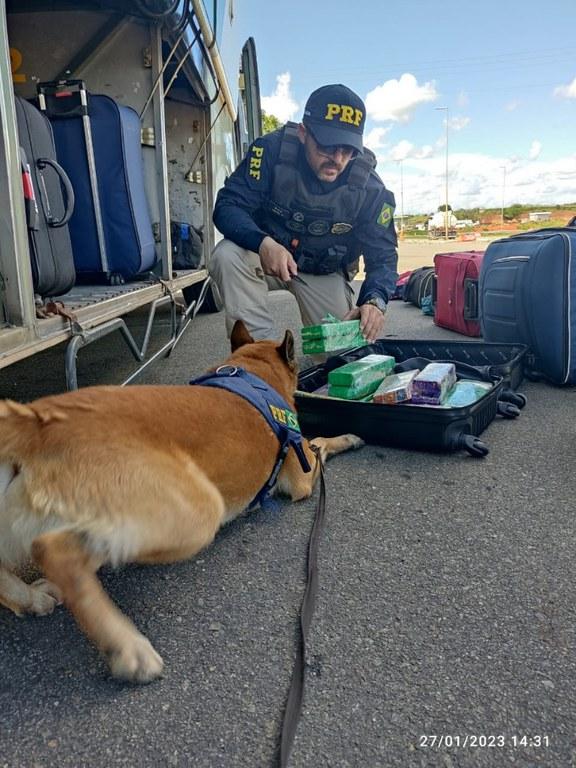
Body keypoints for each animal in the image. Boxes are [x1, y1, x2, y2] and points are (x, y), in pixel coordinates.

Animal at [0, 320, 362, 680]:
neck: (253, 371)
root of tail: (38, 419)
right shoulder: (301, 476)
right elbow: (320, 443)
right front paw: (348, 438)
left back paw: (32, 598)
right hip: (195, 513)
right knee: (55, 551)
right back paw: (127, 648)